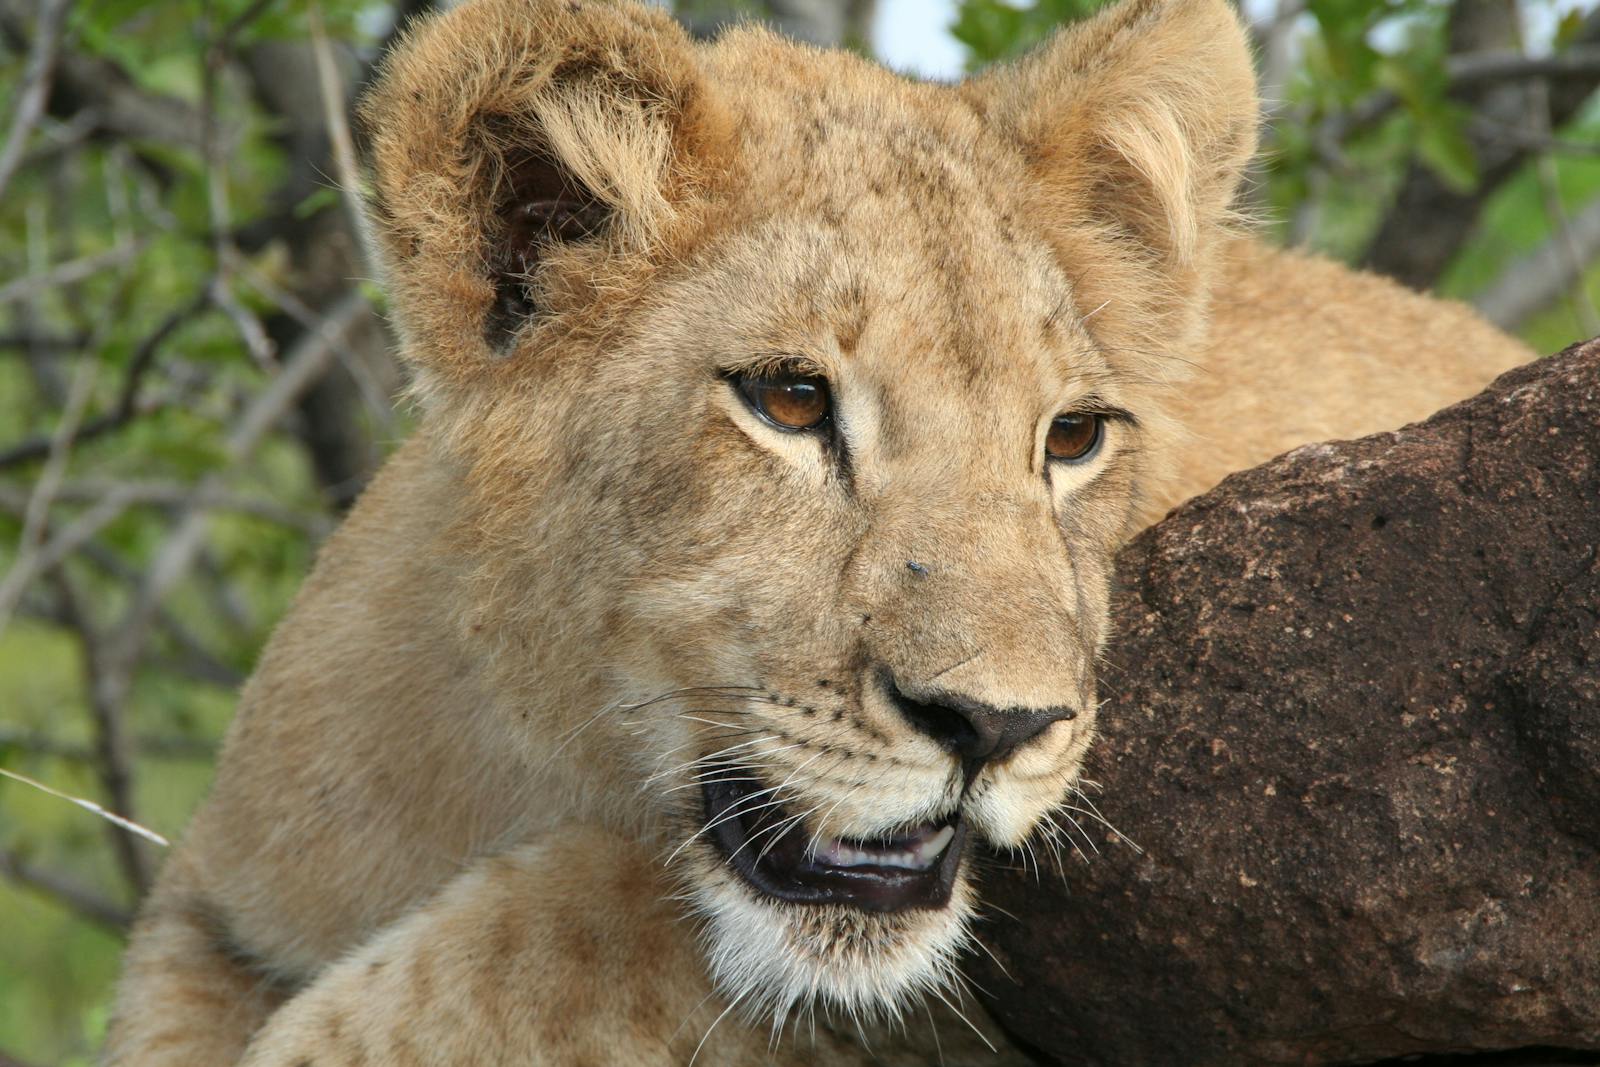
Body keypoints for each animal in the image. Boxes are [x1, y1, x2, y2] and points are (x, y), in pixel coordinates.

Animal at [102, 0, 1531, 1063]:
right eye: (789, 400)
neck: (516, 759)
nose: (996, 727)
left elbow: (509, 957)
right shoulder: (211, 906)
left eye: (1071, 436)